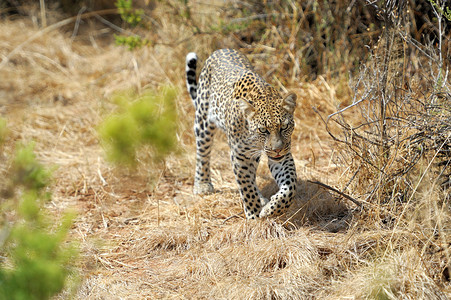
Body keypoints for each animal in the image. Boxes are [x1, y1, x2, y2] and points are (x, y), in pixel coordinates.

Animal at [185, 48, 298, 218]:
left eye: (284, 127)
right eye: (263, 130)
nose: (277, 149)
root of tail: (221, 50)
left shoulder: (283, 155)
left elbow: (290, 185)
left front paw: (272, 209)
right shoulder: (240, 155)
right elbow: (246, 187)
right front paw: (253, 214)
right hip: (203, 121)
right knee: (202, 153)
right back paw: (202, 184)